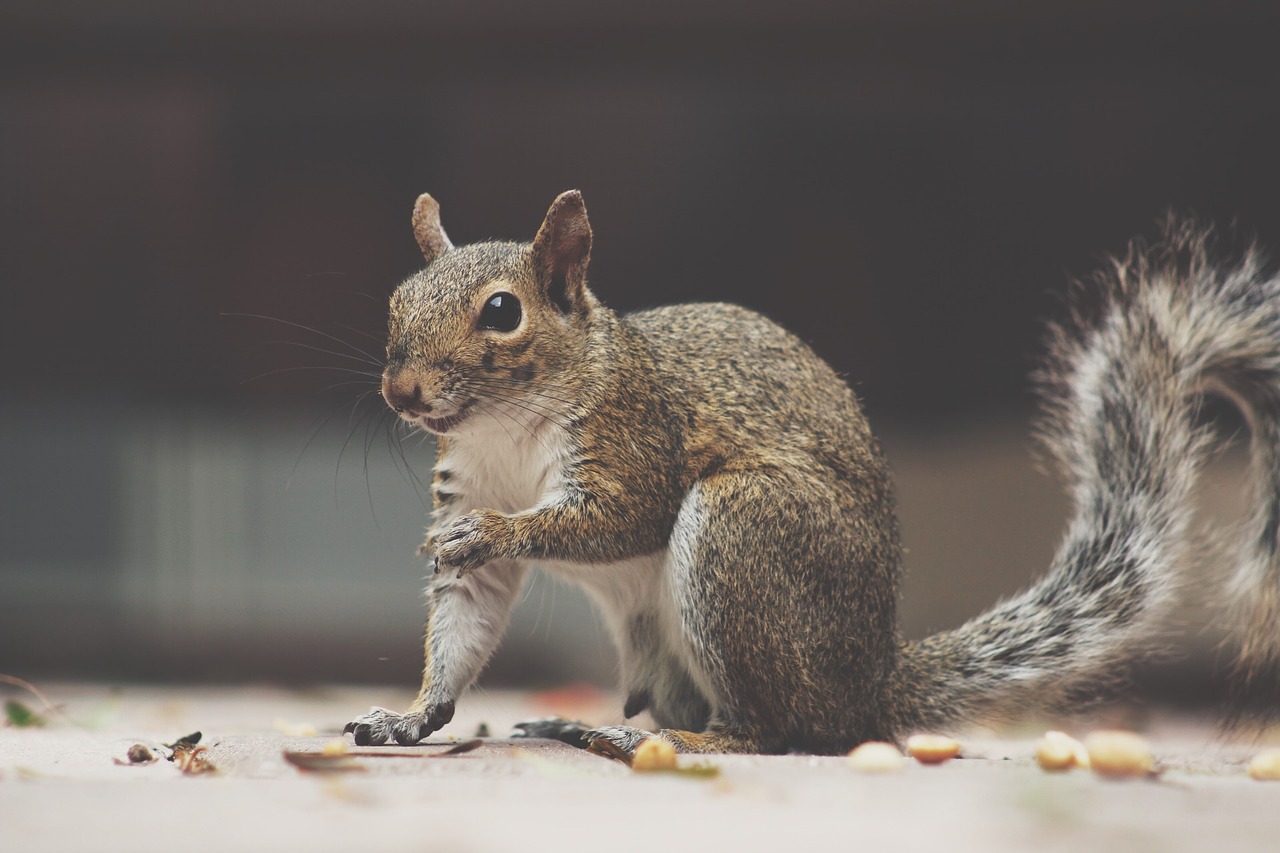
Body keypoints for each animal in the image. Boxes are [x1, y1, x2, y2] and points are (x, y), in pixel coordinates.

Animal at [343, 190, 1280, 753]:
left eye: (503, 312)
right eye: (396, 300)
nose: (400, 389)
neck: (504, 427)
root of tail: (867, 685)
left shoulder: (634, 436)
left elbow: (618, 518)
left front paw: (497, 529)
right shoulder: (470, 487)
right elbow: (466, 620)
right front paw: (411, 716)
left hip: (743, 530)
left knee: (773, 732)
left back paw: (664, 743)